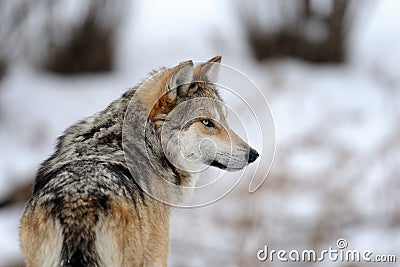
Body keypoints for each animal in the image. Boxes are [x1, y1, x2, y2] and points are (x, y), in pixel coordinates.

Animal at [18, 55, 260, 266]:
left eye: (225, 120)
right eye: (207, 122)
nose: (253, 154)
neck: (147, 142)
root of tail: (78, 205)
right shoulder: (157, 255)